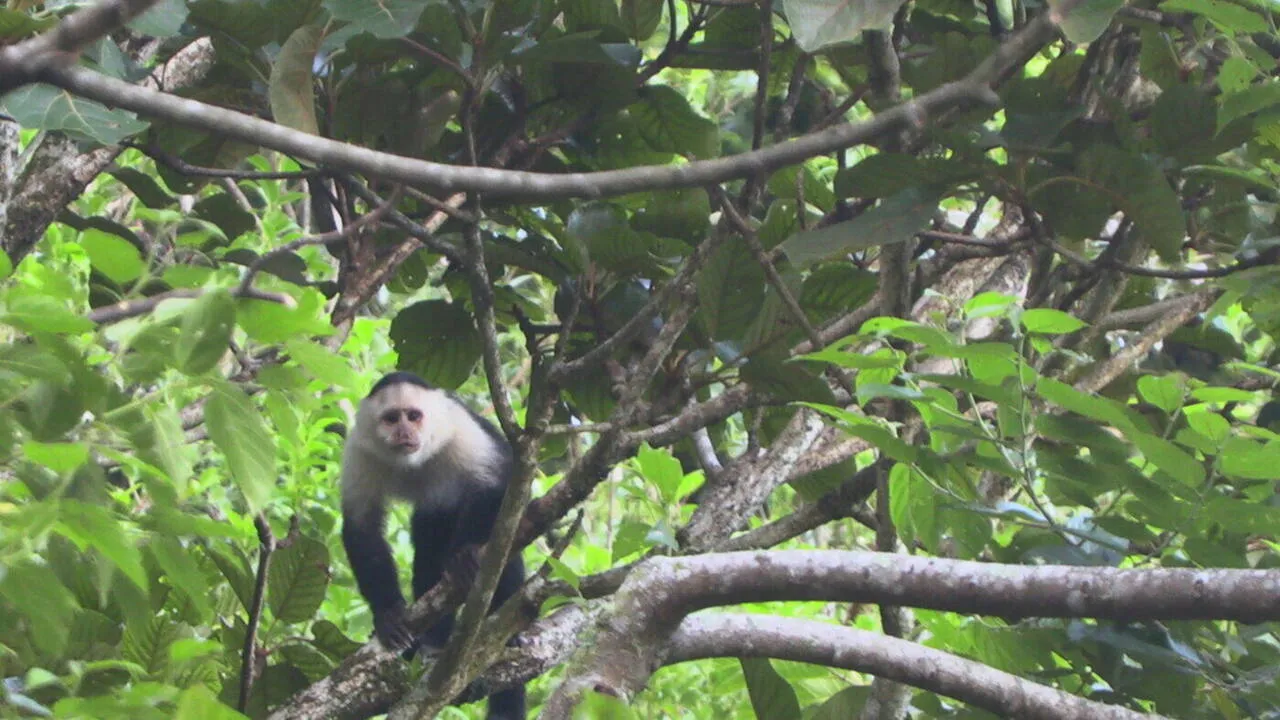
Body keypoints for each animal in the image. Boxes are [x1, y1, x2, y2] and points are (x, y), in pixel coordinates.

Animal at [340, 371, 526, 719]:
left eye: (414, 416)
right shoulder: (359, 450)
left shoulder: (459, 427)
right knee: (428, 546)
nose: (404, 432)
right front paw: (388, 614)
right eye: (391, 418)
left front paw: (465, 555)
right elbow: (362, 528)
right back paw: (433, 643)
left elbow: (498, 481)